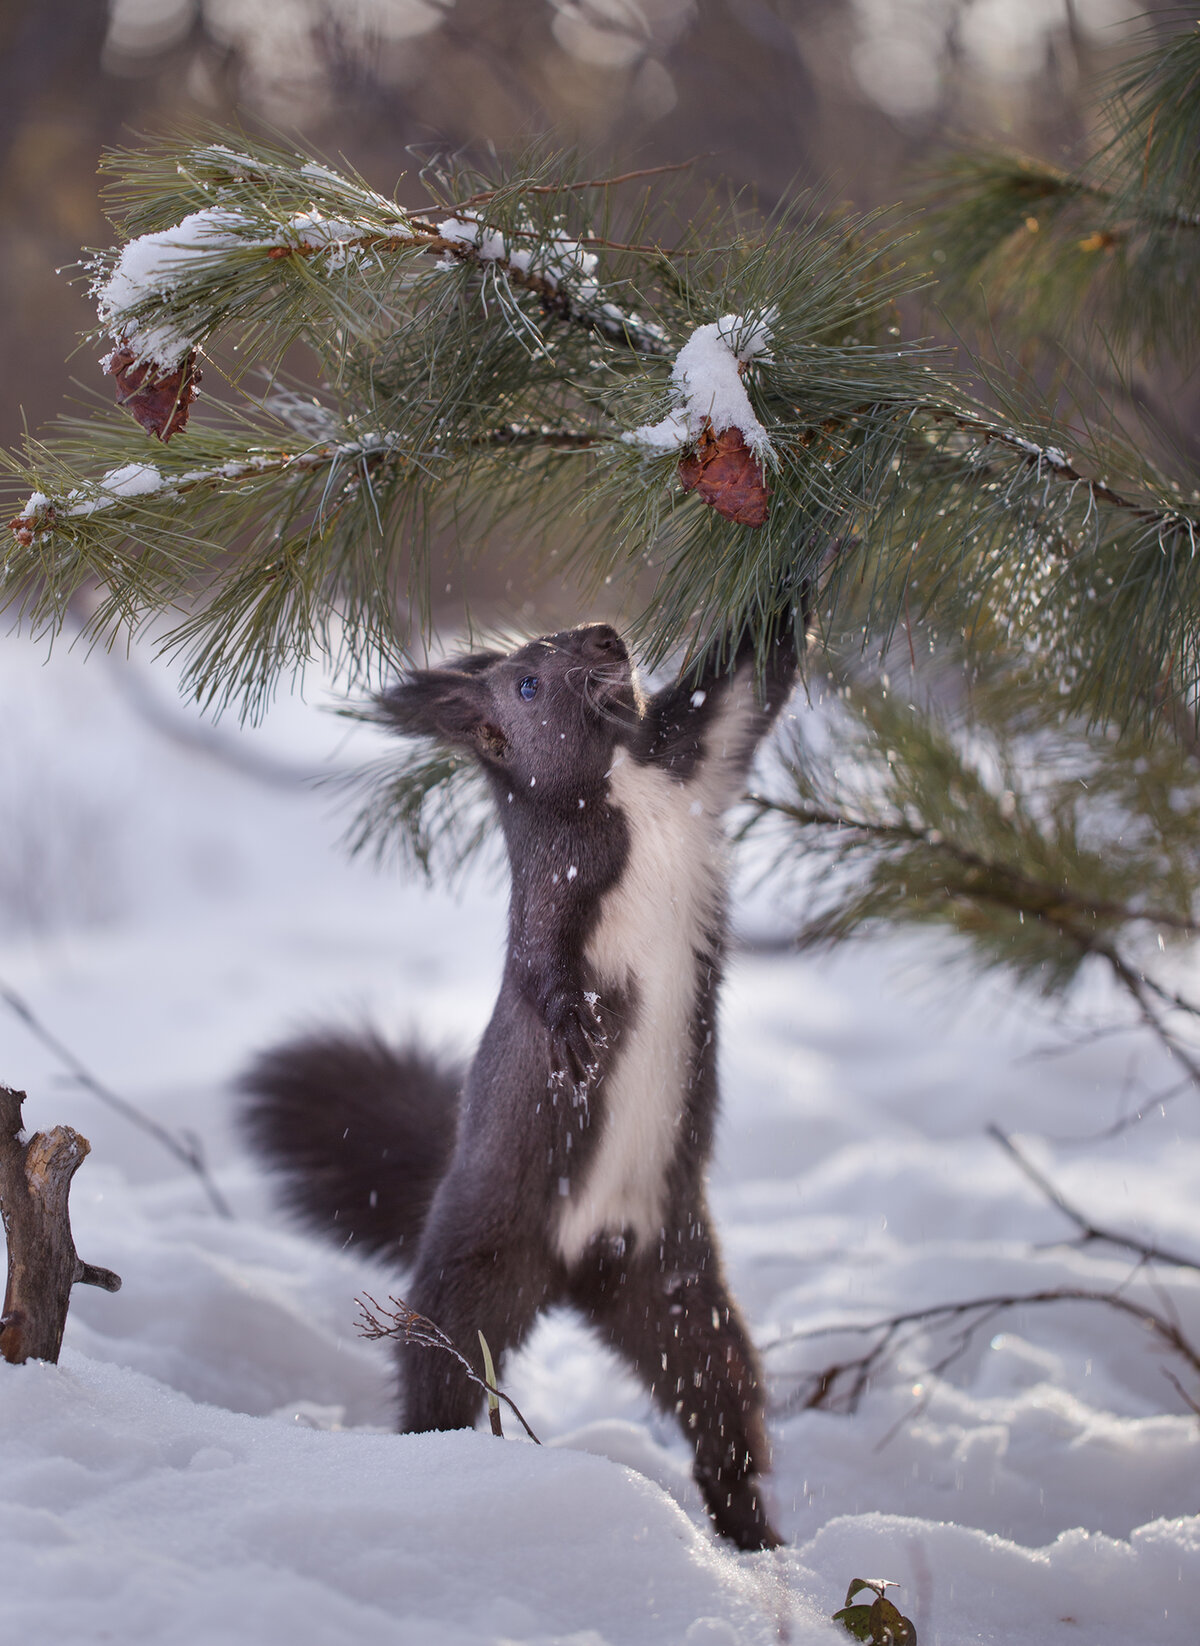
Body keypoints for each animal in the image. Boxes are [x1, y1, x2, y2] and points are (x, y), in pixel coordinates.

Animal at [239, 612, 799, 1550]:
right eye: (527, 686)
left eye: (570, 628)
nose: (607, 637)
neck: (619, 783)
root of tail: (578, 1270)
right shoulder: (554, 894)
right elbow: (542, 965)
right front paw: (573, 1034)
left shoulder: (699, 760)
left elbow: (753, 675)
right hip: (475, 1270)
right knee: (440, 1377)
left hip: (675, 1287)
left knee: (720, 1407)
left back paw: (756, 1541)